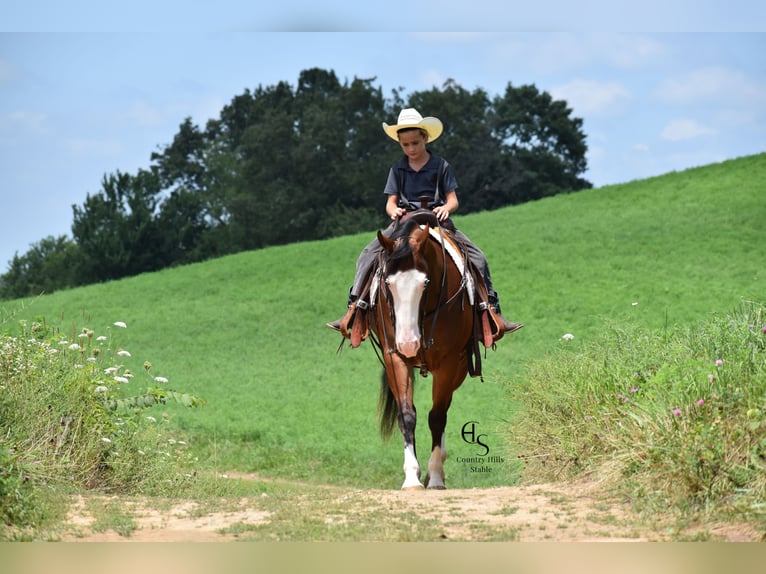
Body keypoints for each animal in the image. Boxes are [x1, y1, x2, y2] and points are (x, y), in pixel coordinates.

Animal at [367, 212, 476, 490]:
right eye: (388, 283)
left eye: (425, 282)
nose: (409, 343)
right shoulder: (394, 357)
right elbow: (407, 416)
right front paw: (411, 478)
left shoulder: (449, 363)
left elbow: (437, 417)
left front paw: (435, 477)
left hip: (459, 369)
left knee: (444, 409)